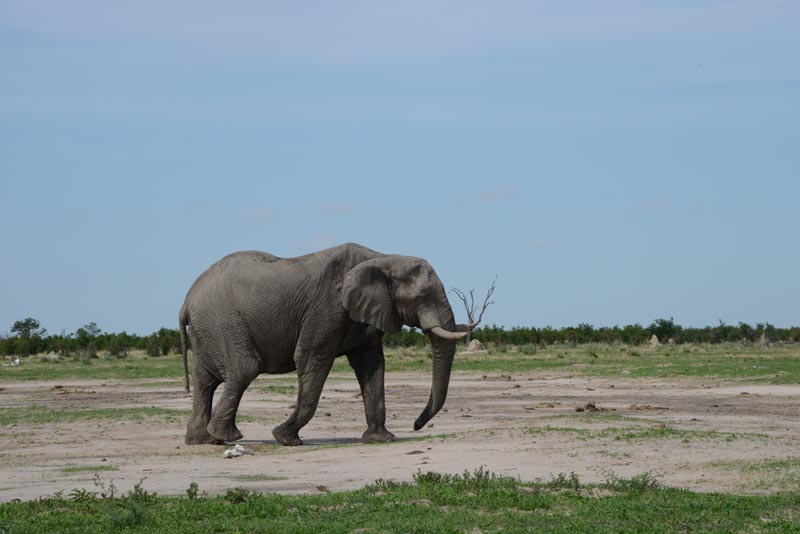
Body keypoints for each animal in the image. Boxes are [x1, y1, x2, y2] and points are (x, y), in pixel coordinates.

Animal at [179, 242, 479, 446]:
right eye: (423, 296)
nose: (416, 426)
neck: (384, 258)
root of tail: (187, 300)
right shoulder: (326, 308)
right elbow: (312, 359)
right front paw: (286, 439)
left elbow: (372, 366)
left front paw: (381, 439)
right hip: (223, 322)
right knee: (244, 368)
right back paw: (227, 436)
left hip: (209, 328)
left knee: (205, 380)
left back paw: (203, 440)